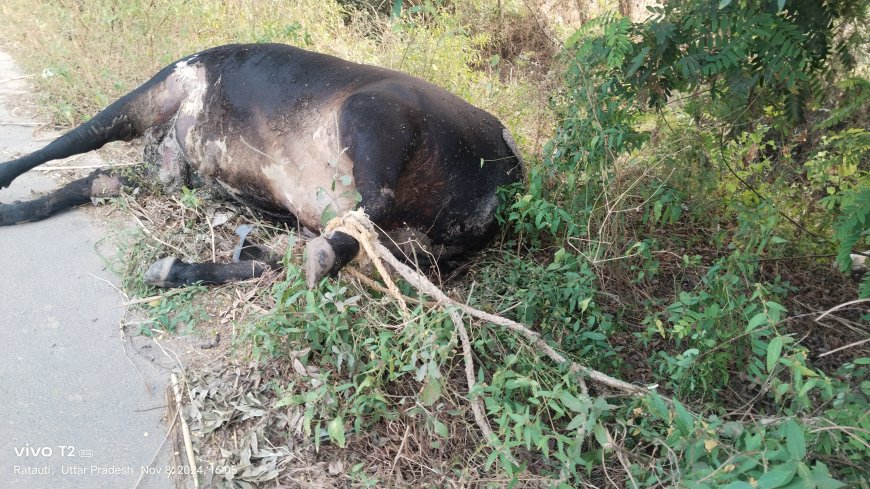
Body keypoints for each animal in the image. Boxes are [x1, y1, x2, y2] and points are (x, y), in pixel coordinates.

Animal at [0, 43, 524, 288]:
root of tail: (509, 167)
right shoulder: (168, 175)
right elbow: (96, 180)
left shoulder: (160, 90)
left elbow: (72, 142)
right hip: (401, 233)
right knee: (298, 250)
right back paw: (175, 269)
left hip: (376, 116)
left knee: (370, 206)